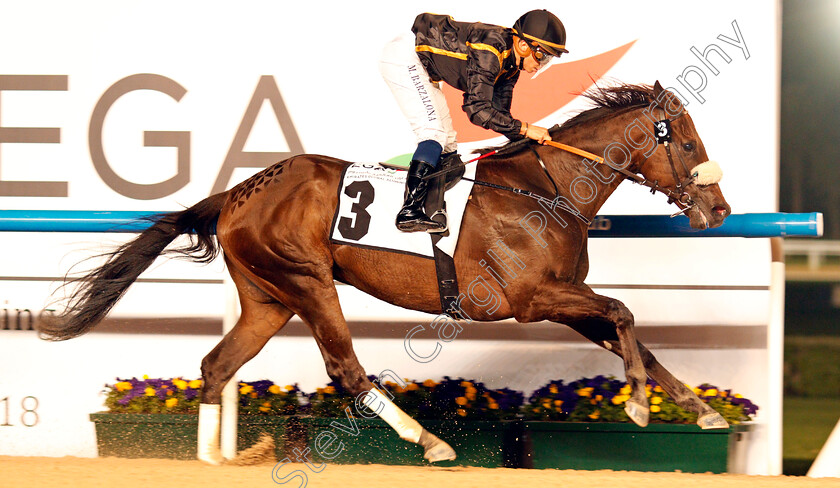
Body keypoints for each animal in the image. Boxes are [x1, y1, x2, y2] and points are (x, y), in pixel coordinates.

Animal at [39, 81, 732, 466]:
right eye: (688, 143)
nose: (720, 210)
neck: (545, 187)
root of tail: (237, 193)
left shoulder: (565, 297)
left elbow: (631, 333)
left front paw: (702, 412)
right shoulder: (530, 299)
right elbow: (623, 311)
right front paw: (639, 407)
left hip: (268, 297)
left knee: (216, 365)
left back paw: (214, 458)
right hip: (308, 281)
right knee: (344, 368)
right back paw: (429, 441)